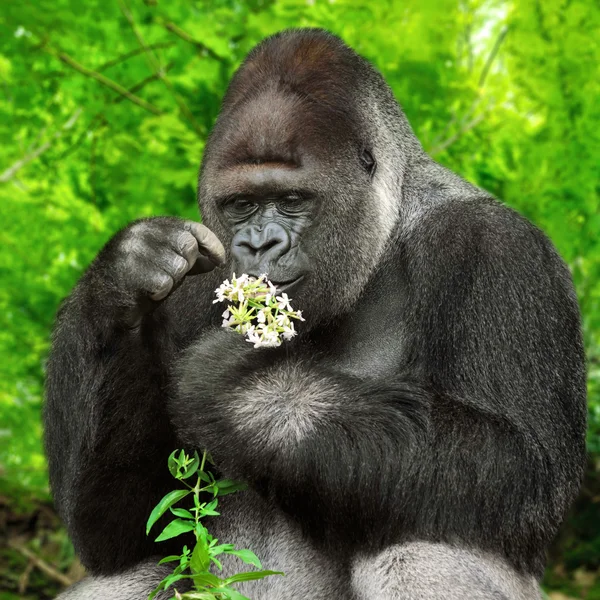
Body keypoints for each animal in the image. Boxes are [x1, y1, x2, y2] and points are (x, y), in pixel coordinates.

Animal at [45, 28, 584, 600]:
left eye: (291, 200)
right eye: (241, 204)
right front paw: (126, 273)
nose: (259, 244)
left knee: (425, 538)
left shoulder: (499, 249)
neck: (384, 233)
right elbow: (123, 530)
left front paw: (239, 389)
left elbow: (519, 464)